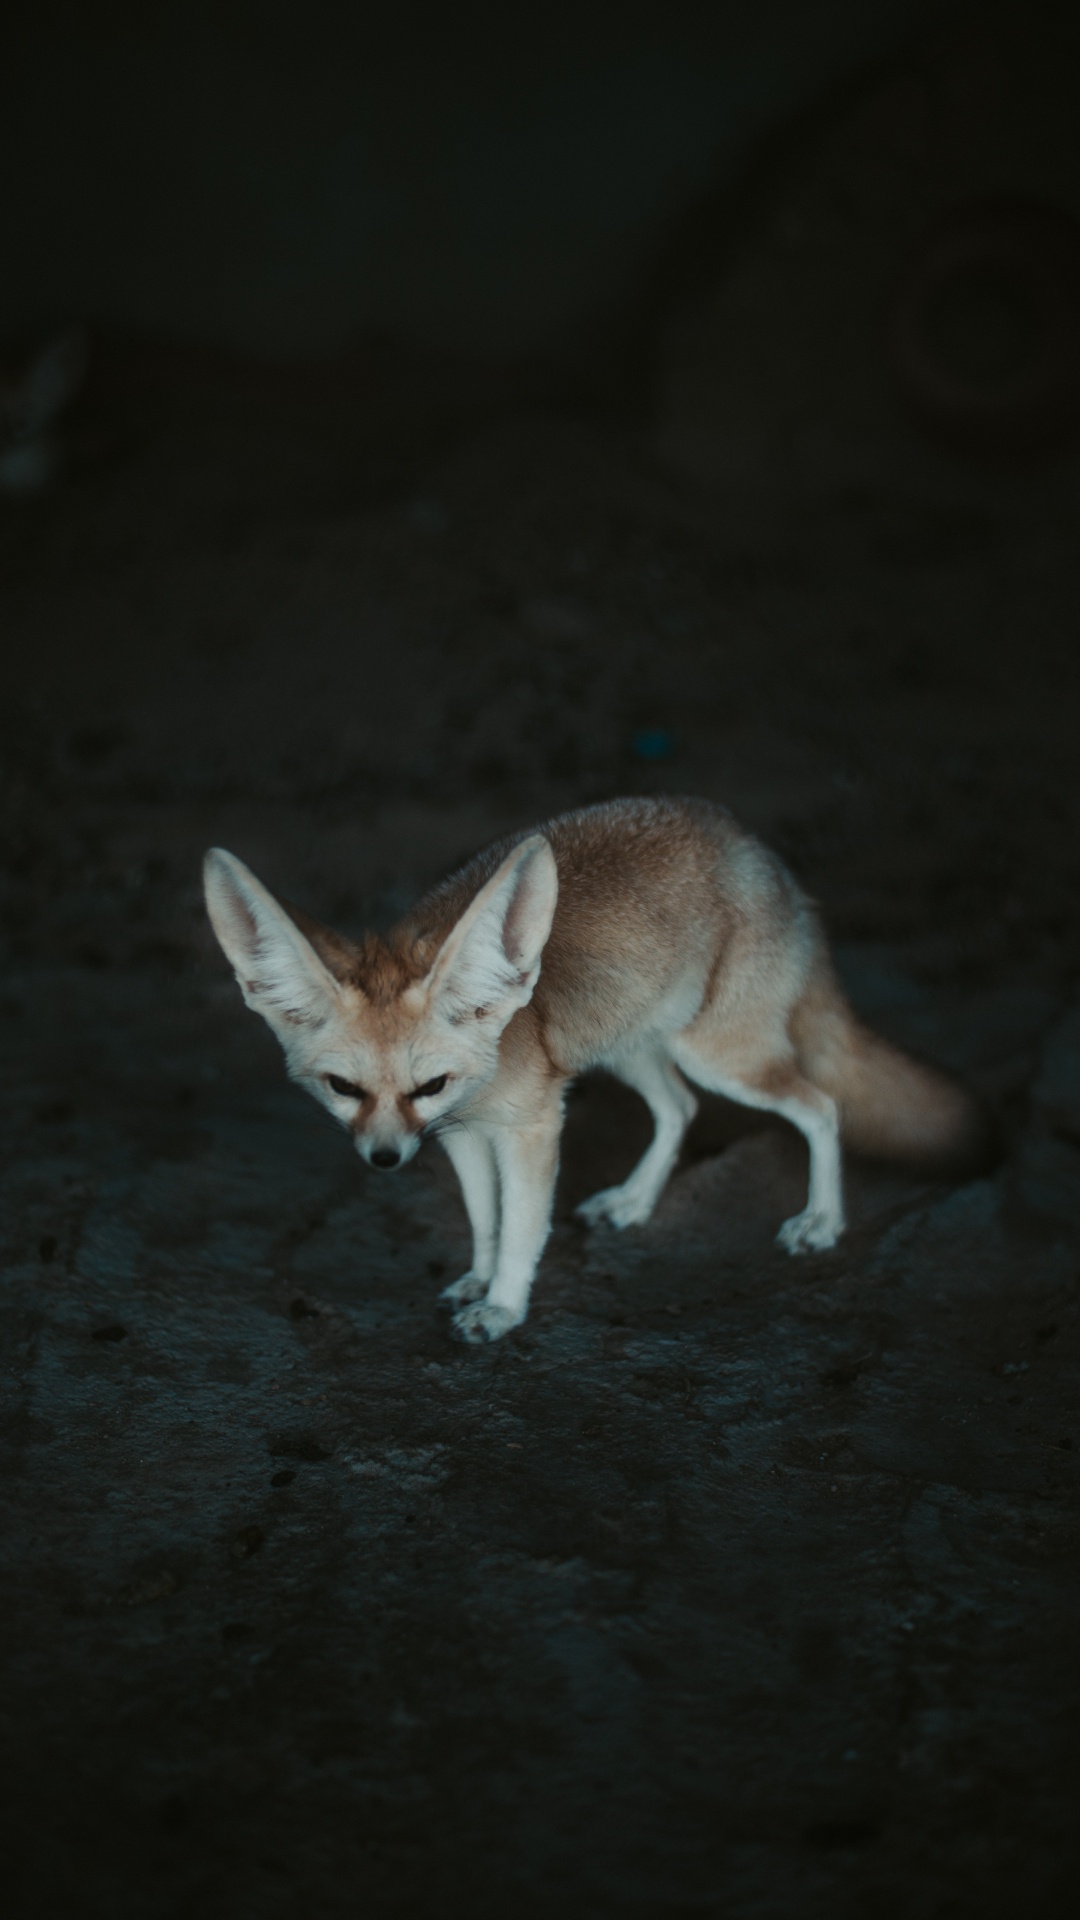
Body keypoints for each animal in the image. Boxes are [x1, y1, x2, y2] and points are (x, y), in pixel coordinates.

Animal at [203, 796, 985, 1344]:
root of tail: (765, 857)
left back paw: (822, 1220)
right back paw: (635, 1201)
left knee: (821, 1106)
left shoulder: (530, 1127)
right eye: (343, 1089)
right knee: (680, 1109)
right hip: (634, 1050)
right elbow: (484, 1219)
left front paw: (504, 1305)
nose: (384, 1160)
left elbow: (522, 1225)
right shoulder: (461, 1134)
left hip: (718, 1057)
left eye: (430, 1084)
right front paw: (479, 1278)